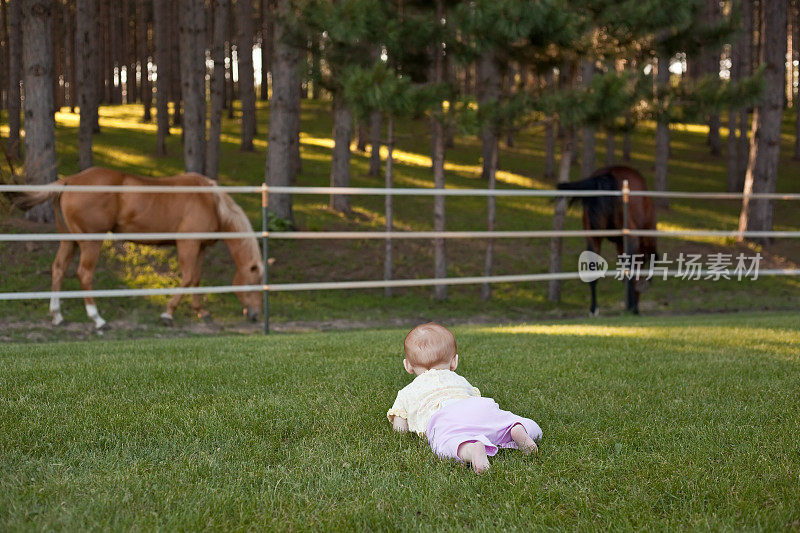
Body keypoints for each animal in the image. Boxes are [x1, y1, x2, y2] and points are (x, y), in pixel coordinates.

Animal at [9, 165, 264, 328]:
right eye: (252, 284)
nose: (254, 316)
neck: (211, 201)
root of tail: (69, 180)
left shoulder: (199, 247)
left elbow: (196, 280)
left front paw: (202, 313)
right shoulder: (188, 244)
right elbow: (188, 278)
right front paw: (167, 315)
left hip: (69, 240)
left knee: (59, 269)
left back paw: (57, 316)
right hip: (91, 242)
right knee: (84, 274)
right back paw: (98, 320)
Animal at [556, 166, 656, 314]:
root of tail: (607, 175)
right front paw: (633, 305)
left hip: (593, 237)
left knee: (593, 271)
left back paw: (594, 308)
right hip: (630, 235)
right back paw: (633, 308)